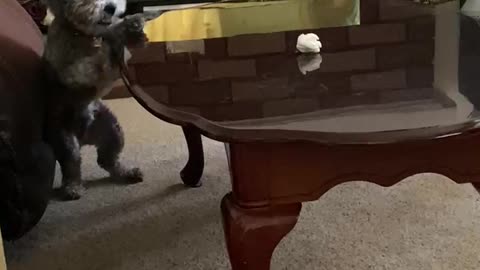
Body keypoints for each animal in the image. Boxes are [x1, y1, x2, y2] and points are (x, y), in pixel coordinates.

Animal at [42, 0, 147, 199]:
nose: (111, 7)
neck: (87, 36)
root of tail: (84, 138)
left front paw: (133, 30)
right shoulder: (74, 69)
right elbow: (98, 61)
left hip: (112, 130)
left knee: (107, 160)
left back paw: (128, 173)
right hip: (66, 140)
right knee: (72, 165)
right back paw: (73, 188)